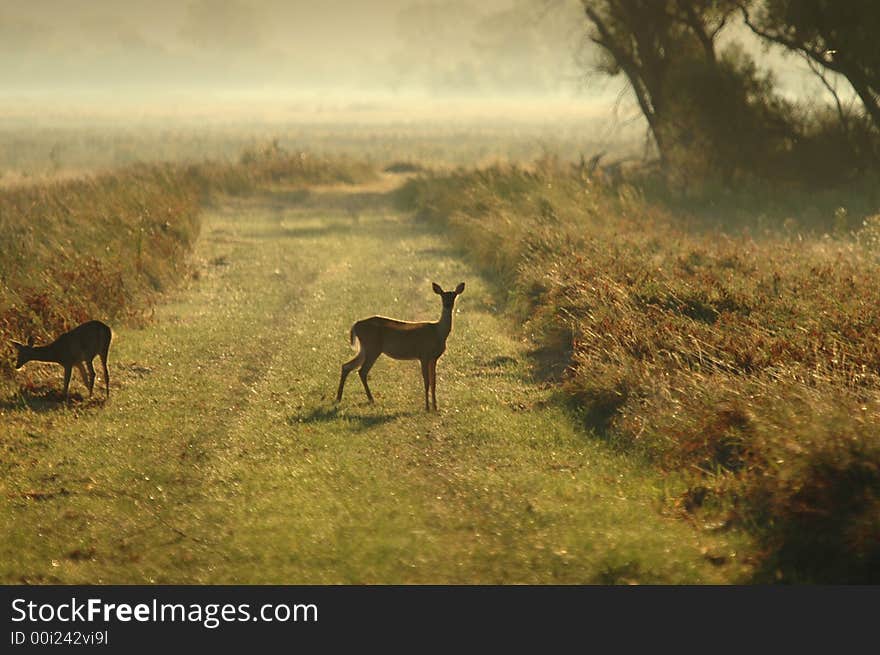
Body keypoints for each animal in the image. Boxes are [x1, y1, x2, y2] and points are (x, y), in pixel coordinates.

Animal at [336, 280, 468, 412]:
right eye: (442, 296)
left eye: (454, 296)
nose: (447, 304)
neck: (438, 332)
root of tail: (355, 325)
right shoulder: (424, 355)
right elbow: (426, 382)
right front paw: (427, 407)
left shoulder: (434, 357)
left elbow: (433, 382)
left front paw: (435, 407)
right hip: (372, 347)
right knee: (361, 371)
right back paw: (371, 399)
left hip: (365, 349)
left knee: (346, 366)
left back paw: (339, 398)